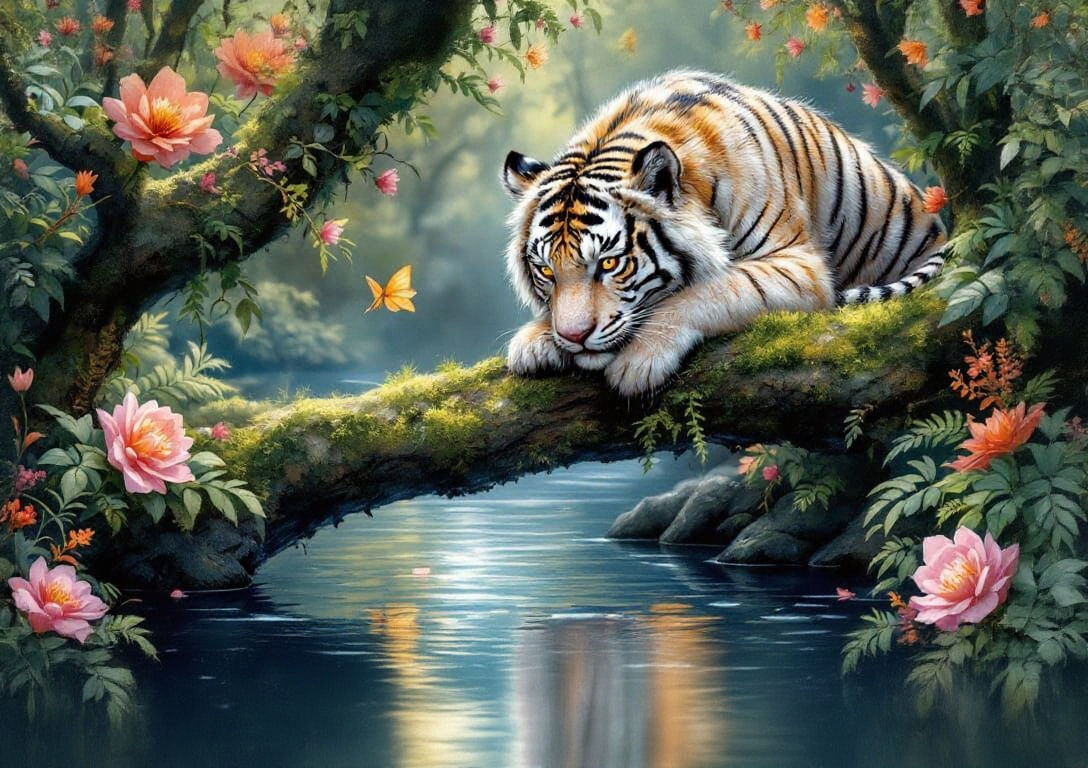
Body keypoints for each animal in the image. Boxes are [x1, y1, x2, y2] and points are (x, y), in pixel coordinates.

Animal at [501, 70, 947, 396]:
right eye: (546, 271)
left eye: (610, 264)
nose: (574, 337)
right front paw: (535, 341)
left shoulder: (799, 266)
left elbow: (706, 291)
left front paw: (640, 360)